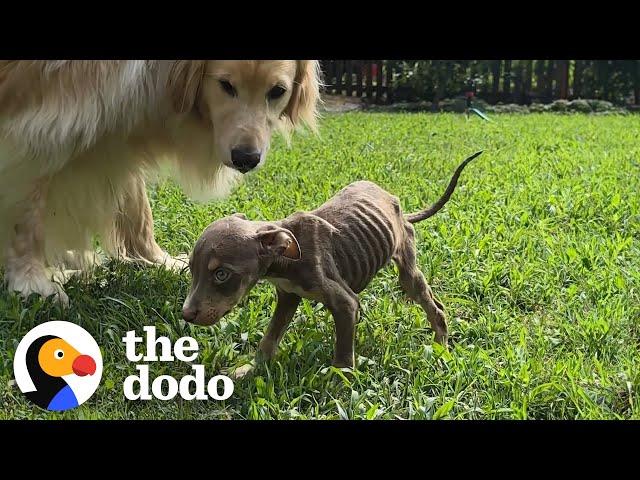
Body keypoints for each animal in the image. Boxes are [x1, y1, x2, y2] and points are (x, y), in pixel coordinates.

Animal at [182, 152, 482, 370]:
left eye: (221, 274)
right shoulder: (288, 296)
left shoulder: (345, 303)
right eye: (191, 270)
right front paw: (251, 369)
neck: (286, 258)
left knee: (434, 306)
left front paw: (339, 383)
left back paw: (442, 347)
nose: (186, 315)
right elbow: (270, 337)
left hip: (407, 265)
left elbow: (344, 356)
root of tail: (397, 204)